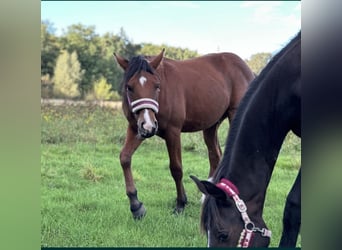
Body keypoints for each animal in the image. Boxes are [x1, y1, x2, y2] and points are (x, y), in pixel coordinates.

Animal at [113, 50, 255, 219]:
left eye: (157, 85)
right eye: (129, 87)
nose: (148, 124)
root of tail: (247, 68)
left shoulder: (173, 131)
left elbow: (176, 168)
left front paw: (180, 203)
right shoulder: (136, 129)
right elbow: (124, 158)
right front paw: (136, 206)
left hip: (235, 115)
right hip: (210, 126)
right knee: (215, 156)